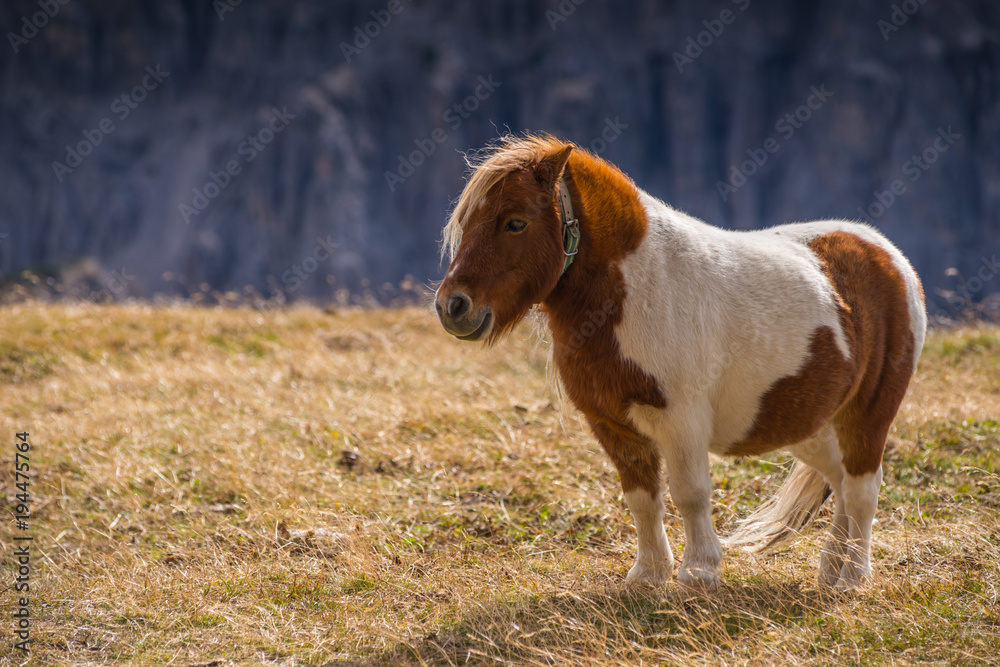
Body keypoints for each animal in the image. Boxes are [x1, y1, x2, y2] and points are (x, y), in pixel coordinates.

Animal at [434, 132, 924, 588]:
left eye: (515, 223)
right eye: (466, 222)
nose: (452, 307)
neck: (633, 291)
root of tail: (888, 255)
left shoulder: (681, 420)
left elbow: (690, 494)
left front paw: (699, 572)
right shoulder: (612, 425)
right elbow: (641, 499)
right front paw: (648, 575)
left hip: (867, 416)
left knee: (862, 489)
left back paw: (852, 577)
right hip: (810, 423)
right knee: (841, 482)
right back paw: (830, 569)